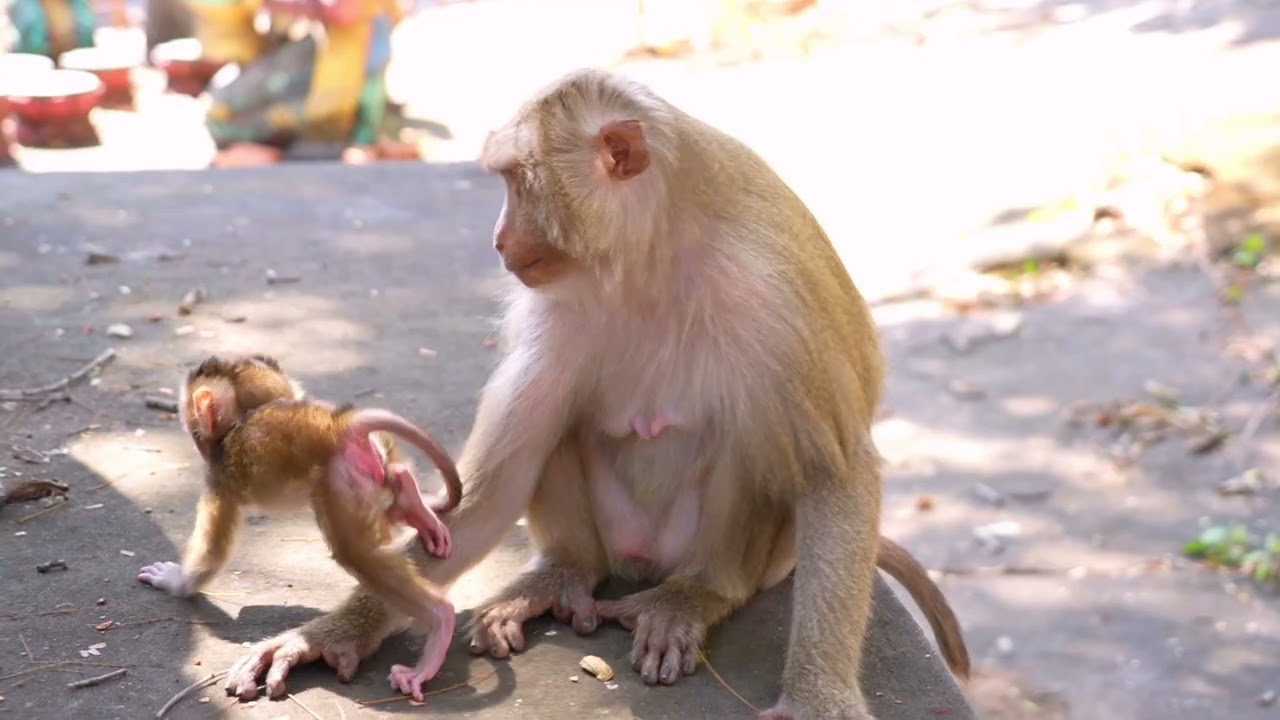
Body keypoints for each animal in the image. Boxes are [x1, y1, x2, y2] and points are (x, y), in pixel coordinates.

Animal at [138, 356, 465, 700]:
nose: (199, 443)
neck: (238, 422)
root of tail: (336, 425)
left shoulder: (219, 478)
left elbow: (210, 556)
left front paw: (176, 582)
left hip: (340, 480)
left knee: (356, 553)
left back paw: (440, 620)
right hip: (374, 459)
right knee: (389, 496)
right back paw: (411, 500)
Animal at [220, 68, 969, 719]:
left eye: (516, 181)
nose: (497, 240)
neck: (653, 256)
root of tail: (641, 562)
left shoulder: (778, 303)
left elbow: (831, 473)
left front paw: (818, 698)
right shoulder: (556, 311)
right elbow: (487, 495)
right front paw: (332, 634)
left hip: (751, 553)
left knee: (748, 442)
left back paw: (695, 595)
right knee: (556, 431)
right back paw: (562, 574)